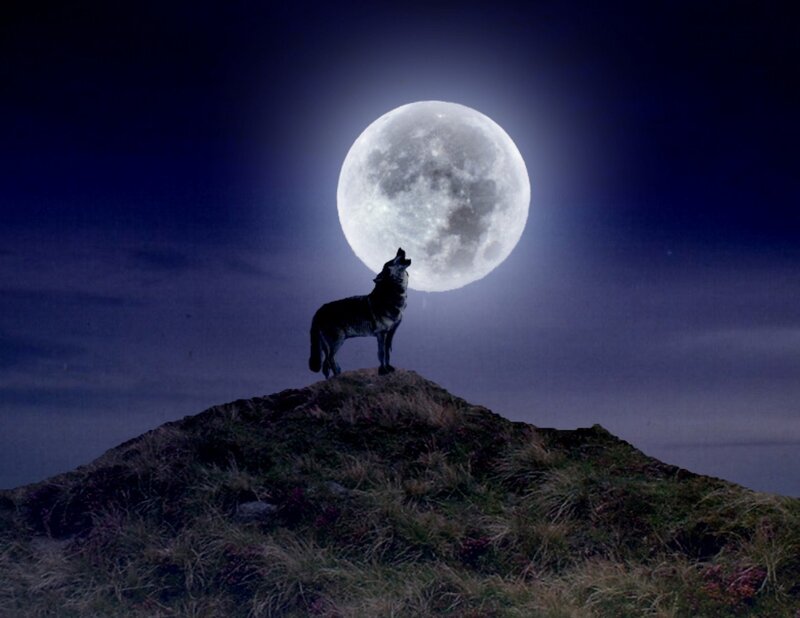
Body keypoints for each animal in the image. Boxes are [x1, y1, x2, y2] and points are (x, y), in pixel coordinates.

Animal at [309, 248, 411, 378]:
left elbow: (388, 353)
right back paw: (338, 377)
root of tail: (318, 311)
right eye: (392, 261)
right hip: (338, 341)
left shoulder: (391, 333)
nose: (400, 249)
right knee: (329, 360)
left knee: (326, 365)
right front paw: (383, 371)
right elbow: (381, 353)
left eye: (394, 258)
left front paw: (388, 368)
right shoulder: (381, 334)